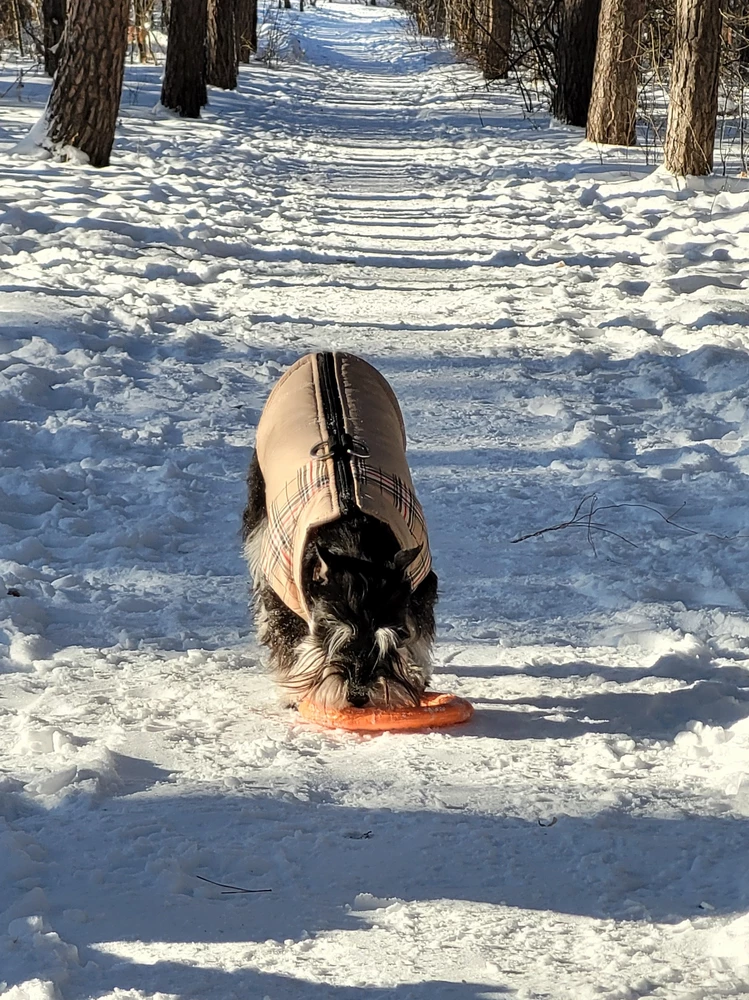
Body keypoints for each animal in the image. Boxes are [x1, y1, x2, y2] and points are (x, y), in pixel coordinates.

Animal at [240, 352, 438, 712]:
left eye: (390, 639)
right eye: (331, 631)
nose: (358, 696)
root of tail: (326, 353)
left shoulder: (420, 586)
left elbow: (418, 633)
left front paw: (416, 672)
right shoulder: (283, 594)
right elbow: (288, 637)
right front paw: (293, 690)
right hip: (258, 512)